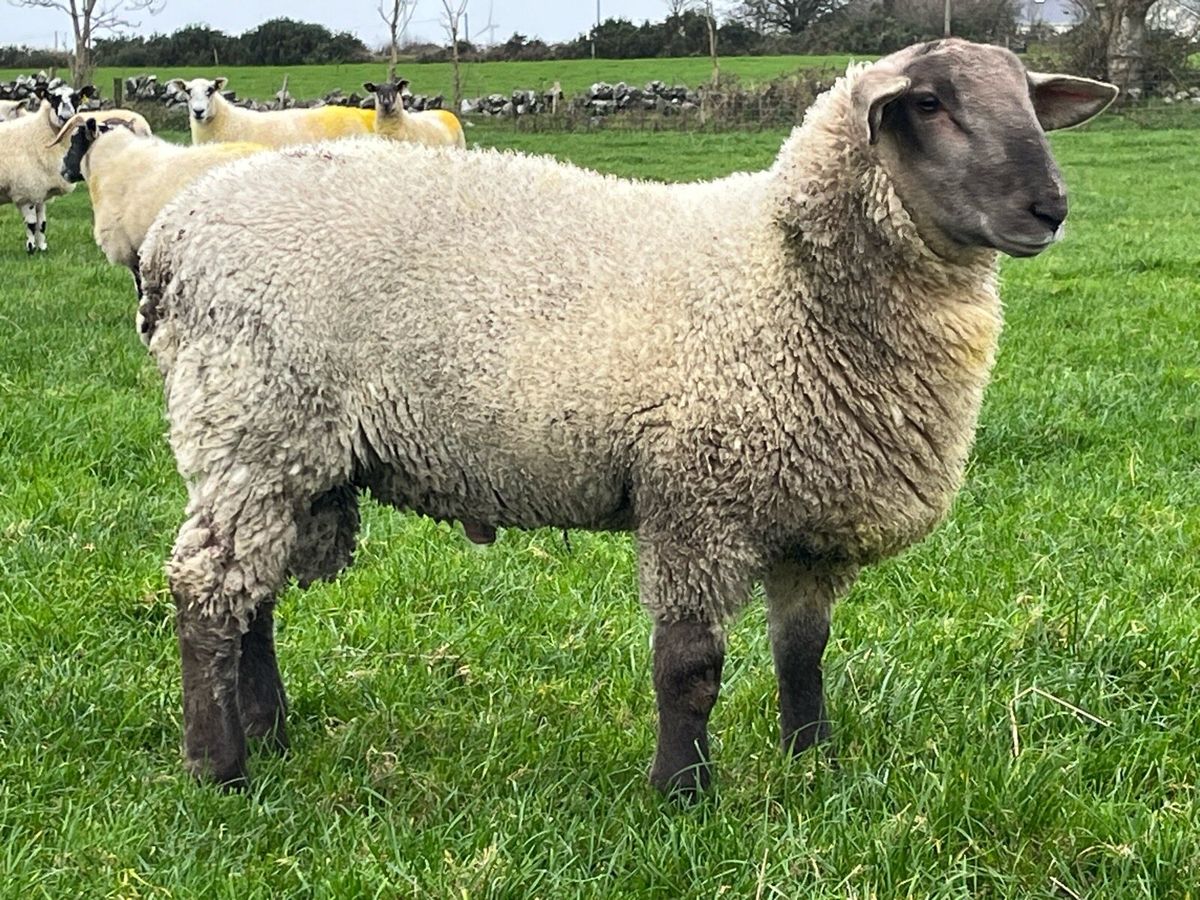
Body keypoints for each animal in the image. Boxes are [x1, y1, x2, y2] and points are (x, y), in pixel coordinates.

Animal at [0, 84, 95, 253]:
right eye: (52, 99)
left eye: (76, 98)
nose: (66, 117)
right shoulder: (27, 190)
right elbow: (31, 225)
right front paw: (31, 249)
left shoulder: (40, 191)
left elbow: (42, 224)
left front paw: (42, 248)